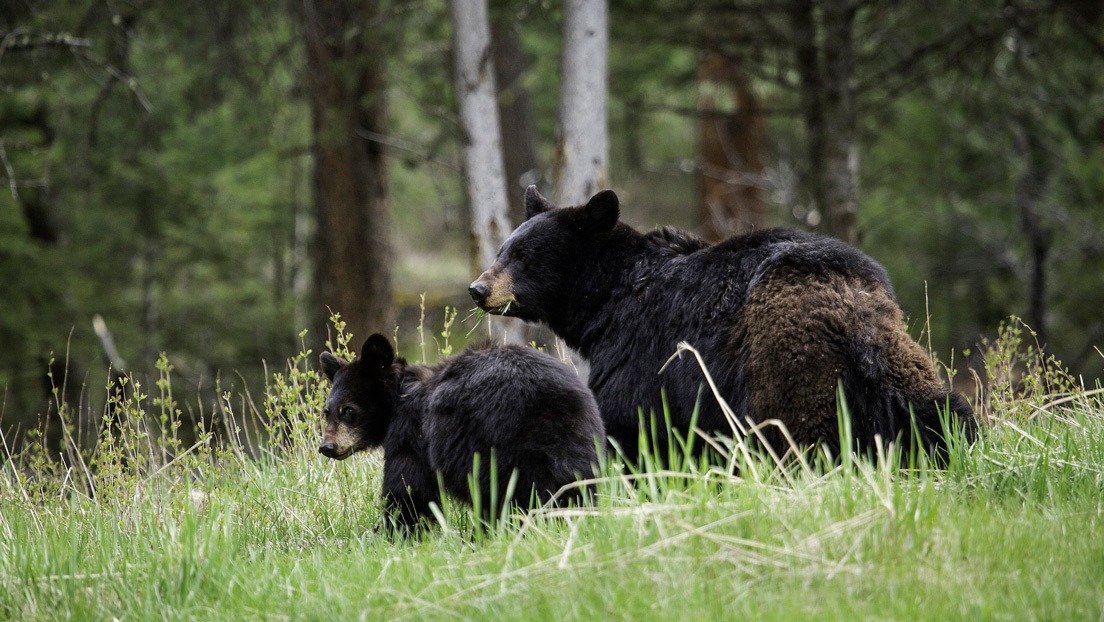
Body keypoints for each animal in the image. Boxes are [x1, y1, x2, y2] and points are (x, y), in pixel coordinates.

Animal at [315, 333, 609, 532]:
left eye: (349, 410)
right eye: (326, 411)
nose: (327, 446)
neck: (401, 395)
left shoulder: (412, 434)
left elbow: (408, 489)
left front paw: (393, 532)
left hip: (490, 445)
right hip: (581, 440)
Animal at [470, 187, 980, 464]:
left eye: (524, 256)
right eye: (503, 249)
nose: (478, 289)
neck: (607, 301)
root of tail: (851, 310)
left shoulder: (640, 351)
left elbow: (628, 422)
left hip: (788, 366)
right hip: (898, 361)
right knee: (939, 411)